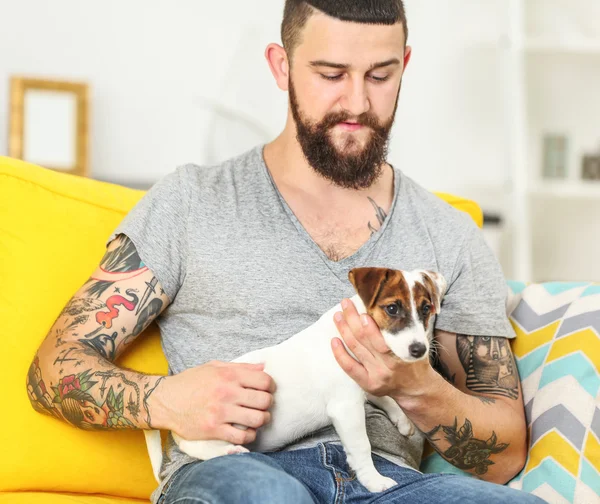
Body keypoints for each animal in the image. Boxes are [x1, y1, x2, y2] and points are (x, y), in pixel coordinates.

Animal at [144, 268, 446, 492]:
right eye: (392, 308)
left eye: (426, 309)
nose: (419, 350)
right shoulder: (346, 408)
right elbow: (362, 446)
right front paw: (374, 481)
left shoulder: (362, 377)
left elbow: (385, 396)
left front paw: (402, 420)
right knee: (197, 445)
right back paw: (230, 451)